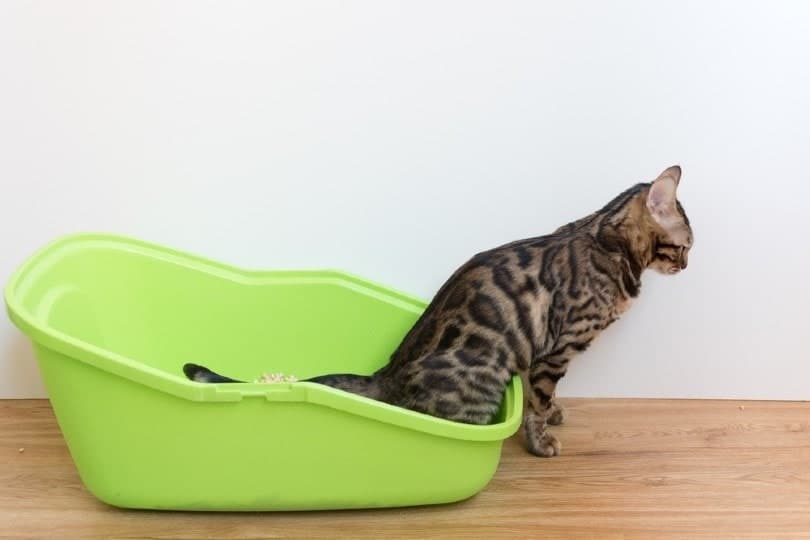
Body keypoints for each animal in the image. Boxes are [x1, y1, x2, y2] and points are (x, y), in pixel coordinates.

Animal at [181, 165, 688, 456]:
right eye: (686, 244)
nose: (686, 264)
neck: (606, 236)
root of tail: (387, 374)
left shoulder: (541, 352)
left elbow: (540, 396)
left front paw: (556, 414)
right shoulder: (556, 349)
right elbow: (539, 401)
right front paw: (541, 439)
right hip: (481, 382)